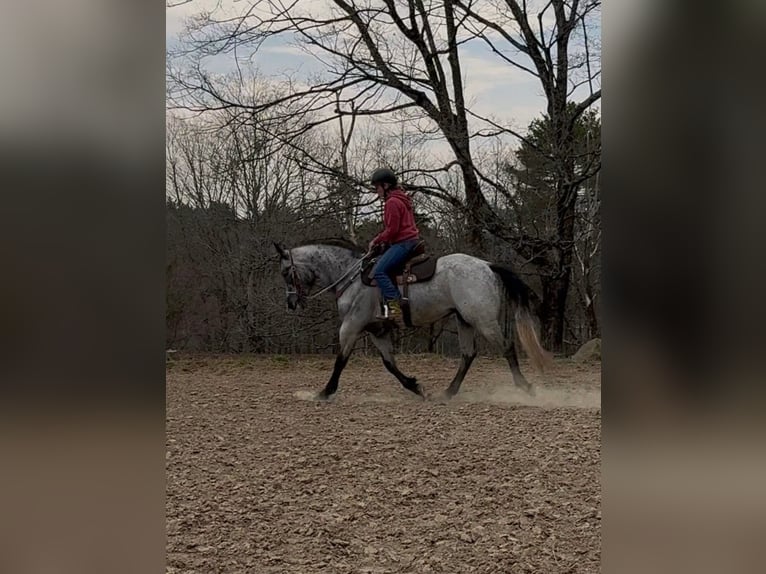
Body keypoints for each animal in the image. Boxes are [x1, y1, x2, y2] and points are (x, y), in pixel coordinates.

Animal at [273, 239, 551, 400]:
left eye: (285, 272)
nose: (291, 303)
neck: (350, 277)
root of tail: (487, 265)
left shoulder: (351, 327)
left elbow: (340, 361)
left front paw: (324, 392)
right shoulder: (378, 330)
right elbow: (389, 364)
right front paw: (415, 386)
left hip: (482, 320)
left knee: (507, 347)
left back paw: (525, 387)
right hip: (464, 321)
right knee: (468, 355)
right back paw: (448, 392)